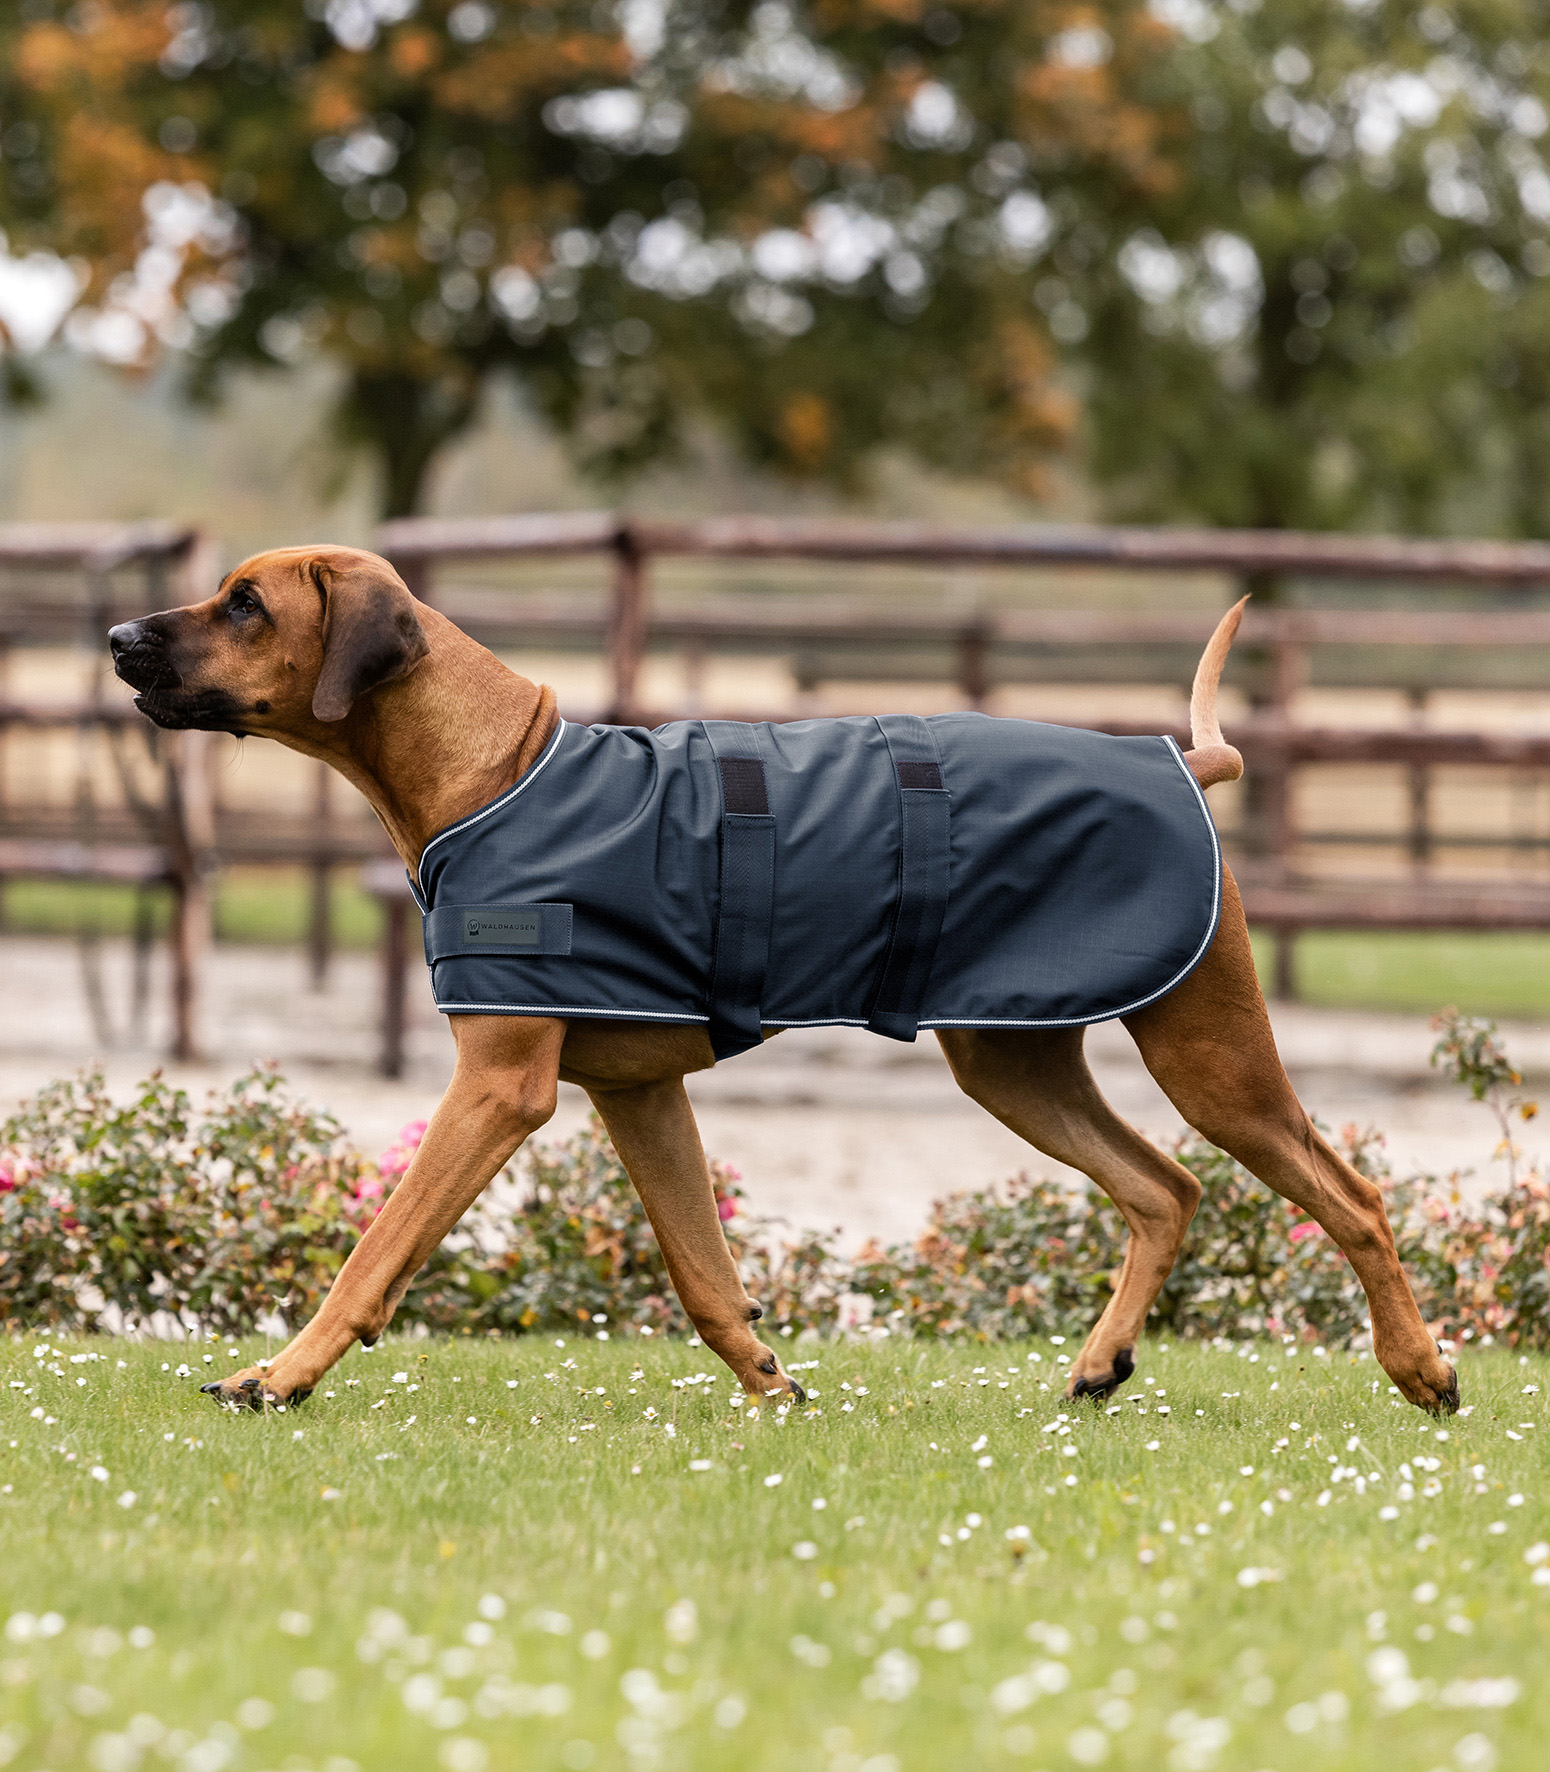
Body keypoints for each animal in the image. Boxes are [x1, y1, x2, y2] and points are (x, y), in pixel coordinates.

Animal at [103, 549, 1459, 1410]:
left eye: (243, 603)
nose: (115, 636)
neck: (496, 764)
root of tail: (1183, 761)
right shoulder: (638, 1095)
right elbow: (706, 1275)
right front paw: (768, 1381)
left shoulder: (495, 1088)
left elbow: (372, 1252)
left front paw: (279, 1373)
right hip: (1011, 1055)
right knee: (1165, 1186)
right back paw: (1100, 1359)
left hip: (1207, 1049)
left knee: (1349, 1196)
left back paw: (1418, 1365)